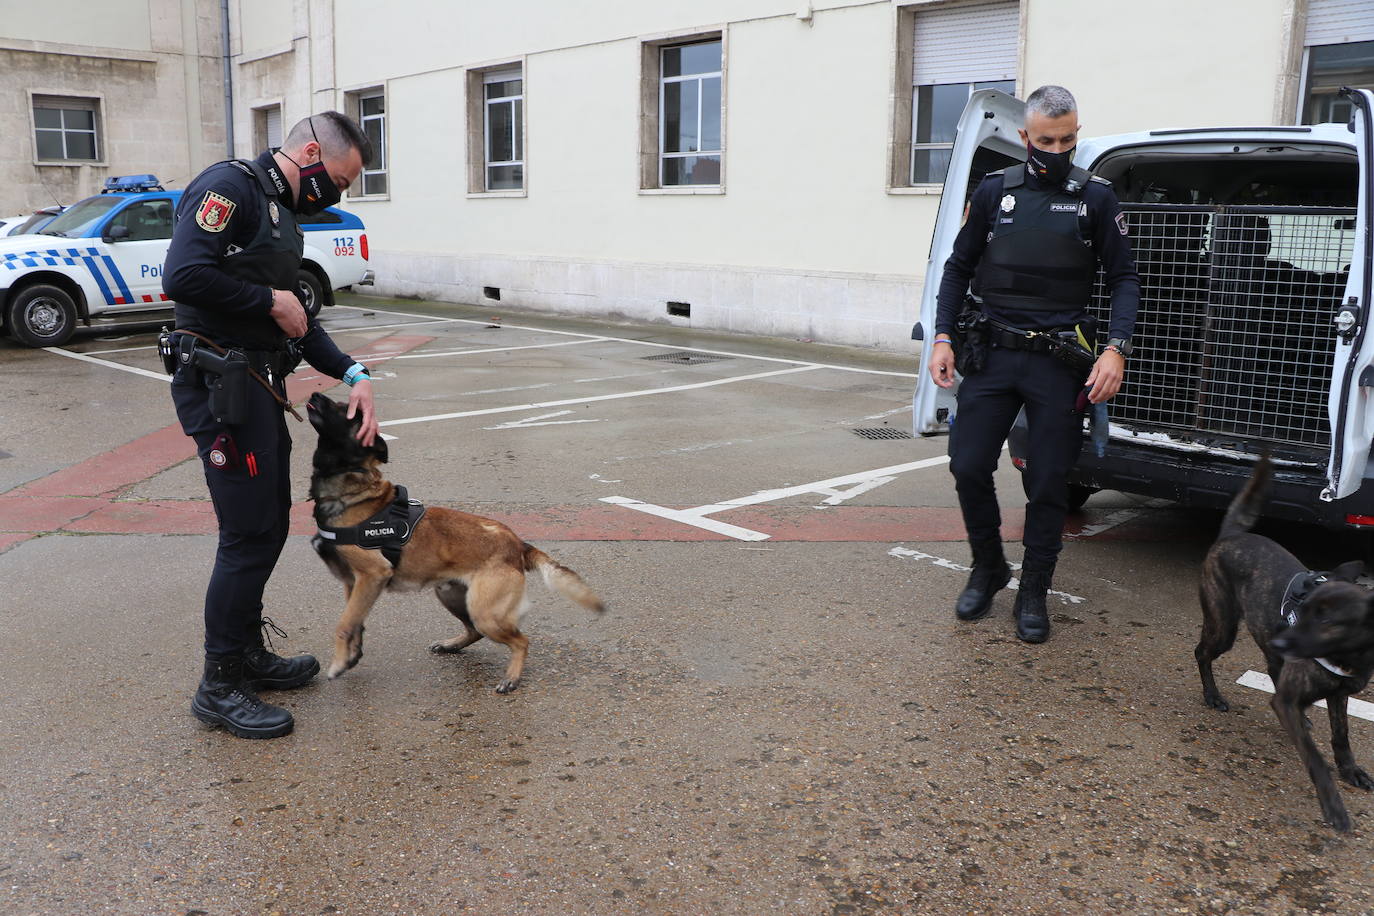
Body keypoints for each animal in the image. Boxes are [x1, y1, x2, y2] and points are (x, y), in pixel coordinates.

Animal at [164, 111, 381, 736]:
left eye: (348, 408)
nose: (324, 396)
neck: (270, 186)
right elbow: (191, 271)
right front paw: (283, 306)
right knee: (254, 541)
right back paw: (225, 698)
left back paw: (260, 666)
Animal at [306, 390, 607, 694]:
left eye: (348, 411)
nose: (316, 394)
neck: (353, 491)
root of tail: (517, 544)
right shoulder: (354, 583)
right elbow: (356, 623)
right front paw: (351, 657)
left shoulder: (372, 575)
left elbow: (344, 624)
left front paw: (338, 663)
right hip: (451, 595)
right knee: (474, 631)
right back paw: (452, 645)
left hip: (485, 611)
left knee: (521, 640)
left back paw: (512, 677)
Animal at [928, 85, 1143, 645]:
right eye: (1046, 140)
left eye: (1066, 139)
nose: (1058, 155)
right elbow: (959, 260)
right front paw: (984, 580)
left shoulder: (1110, 212)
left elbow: (1124, 273)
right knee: (976, 474)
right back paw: (992, 578)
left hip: (1055, 425)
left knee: (1046, 493)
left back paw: (1031, 605)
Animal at [1192, 455, 1374, 829]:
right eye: (1303, 612)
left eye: (1327, 621)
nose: (1282, 641)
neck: (1348, 656)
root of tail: (1232, 535)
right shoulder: (1288, 701)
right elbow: (1316, 759)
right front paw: (1333, 805)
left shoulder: (1338, 695)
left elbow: (1341, 737)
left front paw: (1350, 770)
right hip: (1223, 626)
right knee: (1202, 652)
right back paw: (1212, 695)